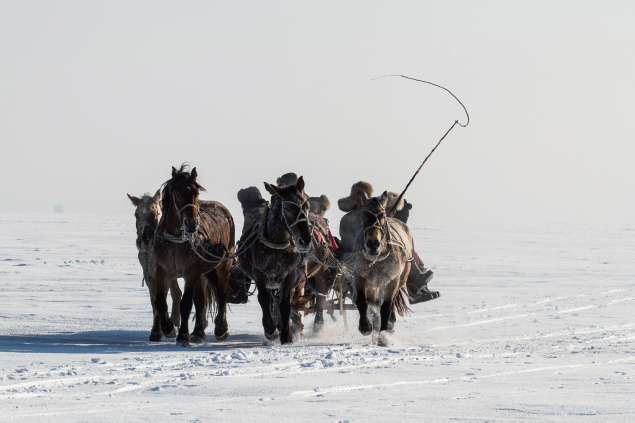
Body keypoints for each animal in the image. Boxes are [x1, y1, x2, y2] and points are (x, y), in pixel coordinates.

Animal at [126, 190, 181, 342]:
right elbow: (154, 299)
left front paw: (164, 329)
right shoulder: (148, 272)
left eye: (154, 214)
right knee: (177, 293)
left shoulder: (164, 273)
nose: (143, 242)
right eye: (136, 214)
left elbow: (161, 298)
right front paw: (158, 330)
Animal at [153, 164, 235, 346]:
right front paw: (168, 328)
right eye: (177, 194)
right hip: (201, 273)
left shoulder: (191, 272)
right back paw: (198, 332)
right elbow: (161, 302)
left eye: (196, 194)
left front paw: (182, 335)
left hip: (222, 265)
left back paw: (221, 329)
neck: (176, 241)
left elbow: (185, 304)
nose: (191, 224)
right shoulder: (162, 271)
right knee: (200, 299)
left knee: (222, 294)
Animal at [236, 176, 314, 344]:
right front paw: (270, 330)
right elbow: (264, 299)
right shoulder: (260, 274)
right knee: (271, 300)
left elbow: (285, 304)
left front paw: (286, 335)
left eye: (306, 206)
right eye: (288, 208)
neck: (278, 244)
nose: (305, 240)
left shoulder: (290, 275)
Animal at [352, 192, 412, 348]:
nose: (373, 243)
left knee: (390, 302)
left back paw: (389, 325)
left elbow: (386, 307)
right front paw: (365, 327)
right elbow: (362, 301)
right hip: (373, 285)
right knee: (374, 303)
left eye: (382, 215)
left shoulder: (392, 281)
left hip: (401, 279)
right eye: (363, 215)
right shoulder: (360, 277)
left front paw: (383, 337)